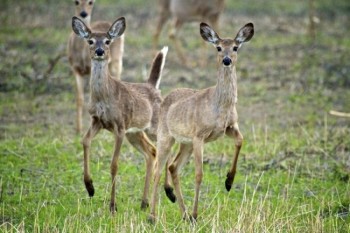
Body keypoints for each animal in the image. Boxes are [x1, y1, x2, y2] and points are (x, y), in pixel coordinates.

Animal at [67, 0, 124, 134]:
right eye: (76, 1)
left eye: (91, 2)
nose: (83, 14)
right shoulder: (75, 69)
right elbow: (80, 98)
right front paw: (78, 129)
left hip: (117, 61)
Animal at [71, 15, 168, 213]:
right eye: (90, 40)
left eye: (108, 41)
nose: (100, 51)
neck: (104, 96)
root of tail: (152, 86)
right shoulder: (97, 120)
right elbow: (84, 141)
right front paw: (90, 187)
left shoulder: (120, 126)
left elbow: (114, 165)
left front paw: (113, 206)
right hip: (136, 132)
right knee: (151, 153)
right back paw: (144, 202)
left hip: (151, 128)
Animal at [148, 20, 254, 222]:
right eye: (218, 47)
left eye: (235, 47)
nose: (226, 60)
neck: (219, 105)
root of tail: (164, 100)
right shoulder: (200, 136)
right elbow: (199, 174)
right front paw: (196, 214)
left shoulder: (230, 127)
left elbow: (240, 140)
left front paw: (229, 181)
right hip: (167, 137)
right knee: (157, 168)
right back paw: (153, 216)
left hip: (185, 143)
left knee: (173, 167)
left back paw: (183, 214)